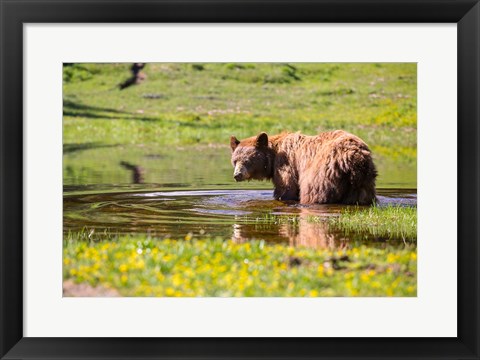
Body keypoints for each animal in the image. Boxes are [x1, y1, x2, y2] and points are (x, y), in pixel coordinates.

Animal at [231, 131, 376, 205]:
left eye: (247, 161)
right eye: (235, 160)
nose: (237, 175)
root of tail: (353, 156)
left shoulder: (285, 163)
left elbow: (286, 187)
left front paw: (281, 197)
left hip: (323, 171)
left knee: (314, 191)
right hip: (363, 179)